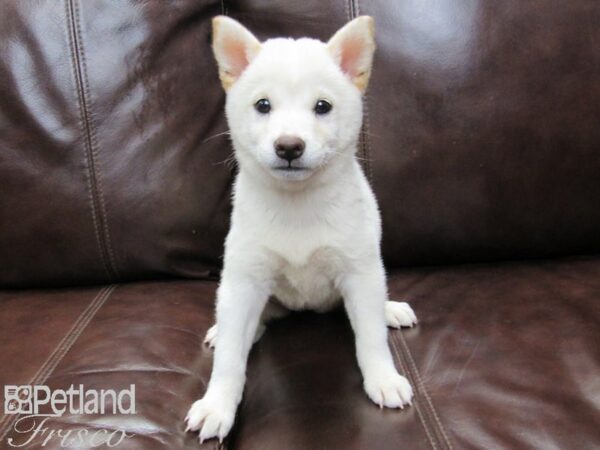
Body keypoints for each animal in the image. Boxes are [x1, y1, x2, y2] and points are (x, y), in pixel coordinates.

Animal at [186, 14, 418, 442]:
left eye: (322, 106)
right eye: (263, 105)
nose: (289, 146)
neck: (297, 205)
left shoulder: (359, 272)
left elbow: (371, 338)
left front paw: (383, 378)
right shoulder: (244, 281)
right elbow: (229, 358)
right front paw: (217, 404)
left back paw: (390, 309)